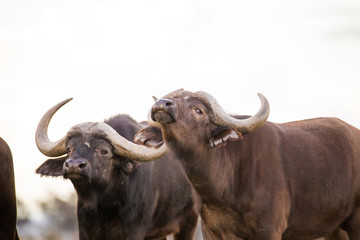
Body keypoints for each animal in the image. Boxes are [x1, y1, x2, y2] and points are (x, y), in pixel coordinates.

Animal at [35, 97, 198, 240]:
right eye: (69, 149)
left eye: (104, 151)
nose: (74, 165)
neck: (104, 205)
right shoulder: (85, 231)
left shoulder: (134, 232)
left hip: (188, 222)